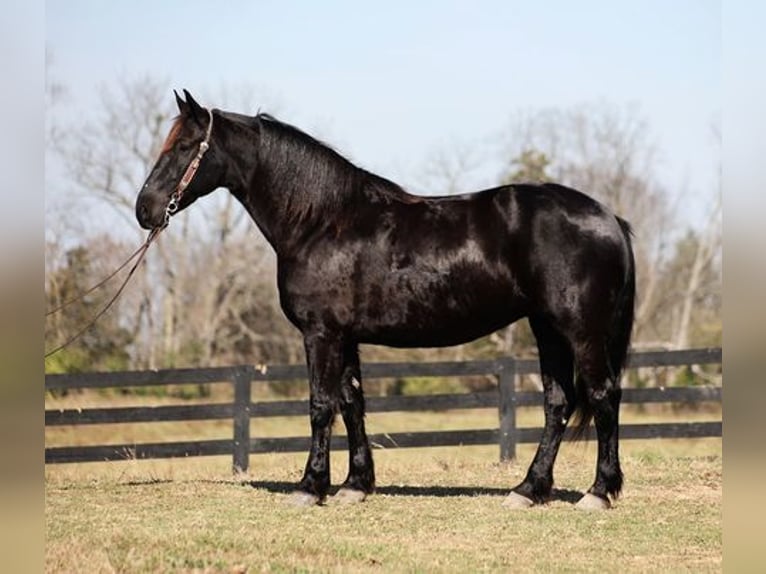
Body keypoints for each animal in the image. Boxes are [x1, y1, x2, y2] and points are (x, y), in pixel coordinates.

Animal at [136, 92, 636, 510]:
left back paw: (597, 493)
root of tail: (609, 217)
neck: (321, 222)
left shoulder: (321, 334)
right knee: (559, 403)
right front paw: (354, 486)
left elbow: (320, 406)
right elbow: (351, 403)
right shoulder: (344, 336)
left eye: (186, 147)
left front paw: (310, 487)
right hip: (547, 328)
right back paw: (529, 490)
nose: (145, 209)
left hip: (579, 329)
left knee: (603, 395)